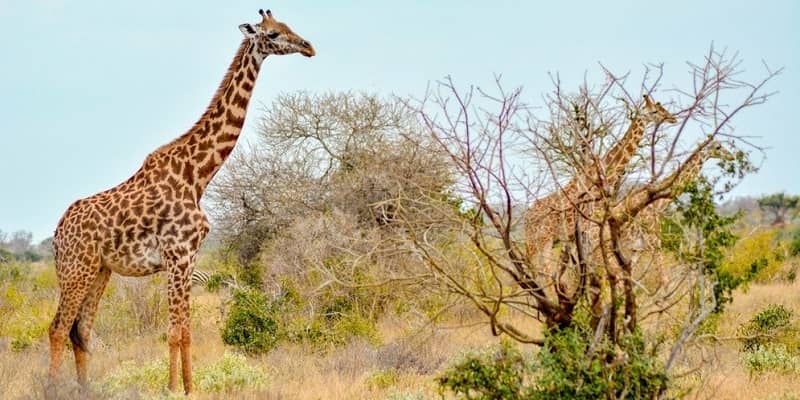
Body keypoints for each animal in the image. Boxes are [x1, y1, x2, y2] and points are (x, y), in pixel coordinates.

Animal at [46, 9, 316, 394]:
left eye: (288, 27)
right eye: (274, 34)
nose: (309, 47)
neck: (197, 175)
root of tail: (58, 232)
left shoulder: (190, 258)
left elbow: (187, 331)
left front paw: (190, 388)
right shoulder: (177, 255)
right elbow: (174, 332)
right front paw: (172, 389)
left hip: (99, 270)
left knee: (80, 331)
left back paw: (86, 391)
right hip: (75, 269)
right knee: (57, 329)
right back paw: (51, 389)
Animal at [524, 95, 676, 274]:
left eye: (663, 109)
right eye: (654, 111)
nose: (672, 118)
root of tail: (526, 219)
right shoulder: (589, 227)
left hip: (545, 240)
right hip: (540, 239)